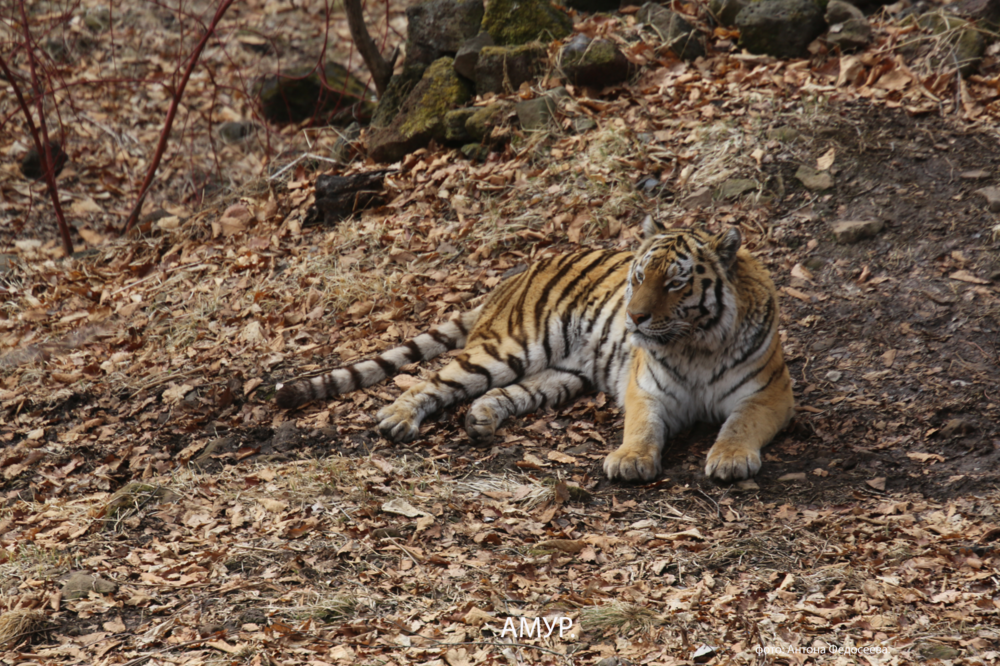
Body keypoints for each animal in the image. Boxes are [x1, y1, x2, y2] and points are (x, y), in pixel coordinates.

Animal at [278, 220, 792, 480]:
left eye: (675, 283)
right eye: (640, 276)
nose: (635, 318)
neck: (695, 346)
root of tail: (515, 275)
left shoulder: (768, 393)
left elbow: (739, 423)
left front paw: (729, 458)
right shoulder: (647, 390)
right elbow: (642, 427)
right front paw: (630, 460)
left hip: (563, 374)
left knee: (503, 392)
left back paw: (480, 420)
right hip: (512, 347)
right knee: (433, 380)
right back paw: (397, 419)